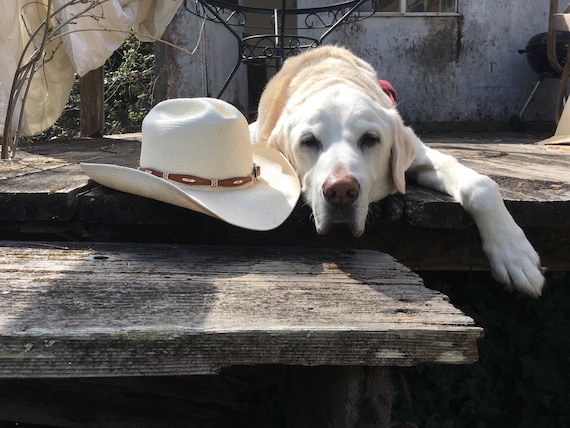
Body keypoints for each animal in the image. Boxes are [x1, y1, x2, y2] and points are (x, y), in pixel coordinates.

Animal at [251, 45, 544, 296]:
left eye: (370, 139)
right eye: (309, 141)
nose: (341, 191)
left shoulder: (421, 156)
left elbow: (480, 186)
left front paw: (515, 256)